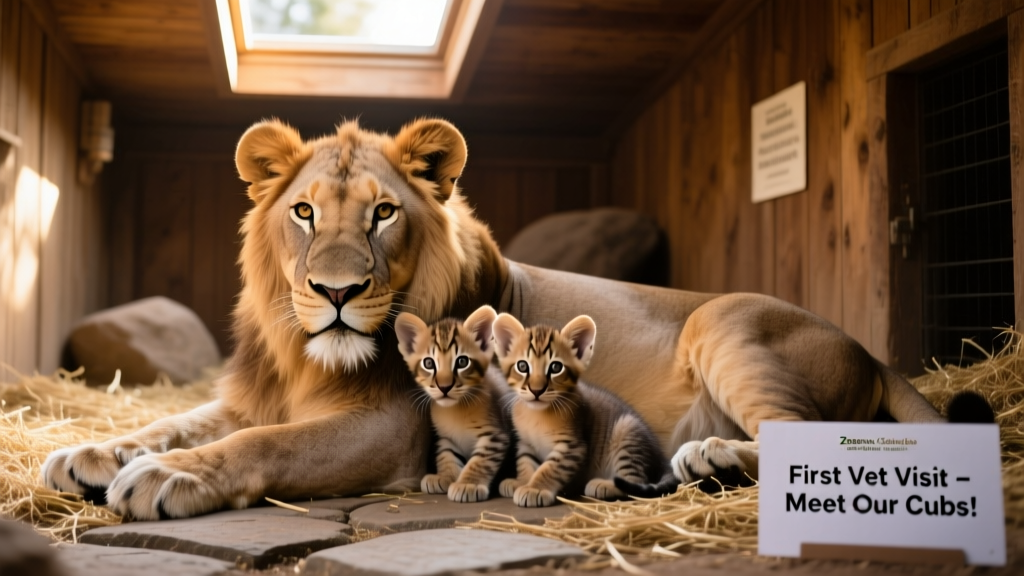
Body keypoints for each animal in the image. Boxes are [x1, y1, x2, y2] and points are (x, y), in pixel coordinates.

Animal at [41, 118, 945, 520]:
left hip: (724, 323)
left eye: (381, 214)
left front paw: (167, 476)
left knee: (809, 436)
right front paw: (92, 452)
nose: (336, 293)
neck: (308, 355)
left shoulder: (393, 430)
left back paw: (712, 456)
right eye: (303, 212)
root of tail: (869, 350)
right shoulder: (254, 394)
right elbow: (180, 418)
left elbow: (265, 444)